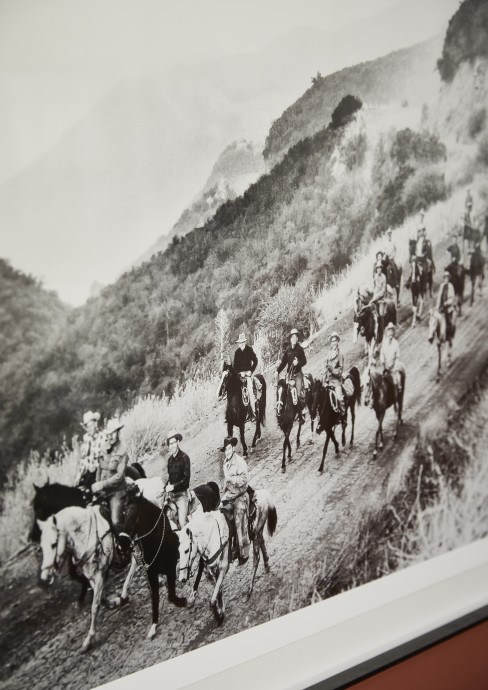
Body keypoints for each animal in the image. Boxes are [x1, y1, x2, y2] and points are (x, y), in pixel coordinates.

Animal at [37, 502, 113, 648]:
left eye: (53, 544)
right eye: (42, 547)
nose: (44, 577)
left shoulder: (99, 573)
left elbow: (94, 606)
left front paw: (89, 639)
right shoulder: (90, 575)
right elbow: (97, 595)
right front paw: (111, 602)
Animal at [178, 490, 278, 624]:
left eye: (186, 550)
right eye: (178, 551)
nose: (182, 578)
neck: (212, 536)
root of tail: (262, 493)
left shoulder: (223, 567)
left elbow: (212, 599)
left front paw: (218, 615)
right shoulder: (212, 568)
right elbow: (218, 589)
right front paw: (220, 609)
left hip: (256, 534)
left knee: (256, 559)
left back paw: (249, 591)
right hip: (258, 532)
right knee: (262, 543)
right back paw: (267, 565)